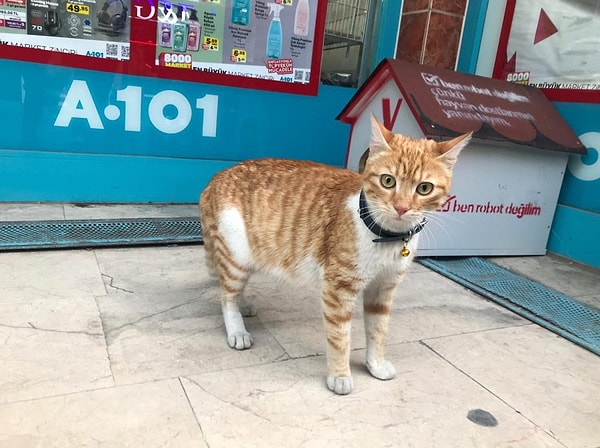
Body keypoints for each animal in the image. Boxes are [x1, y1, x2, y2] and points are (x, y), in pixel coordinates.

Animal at [199, 114, 472, 394]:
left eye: (424, 188)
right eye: (388, 181)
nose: (401, 208)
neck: (386, 236)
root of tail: (217, 176)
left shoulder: (383, 290)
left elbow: (378, 331)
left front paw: (375, 365)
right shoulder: (339, 290)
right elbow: (340, 338)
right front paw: (340, 376)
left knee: (232, 290)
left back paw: (244, 305)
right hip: (237, 256)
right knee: (227, 296)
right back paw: (237, 329)